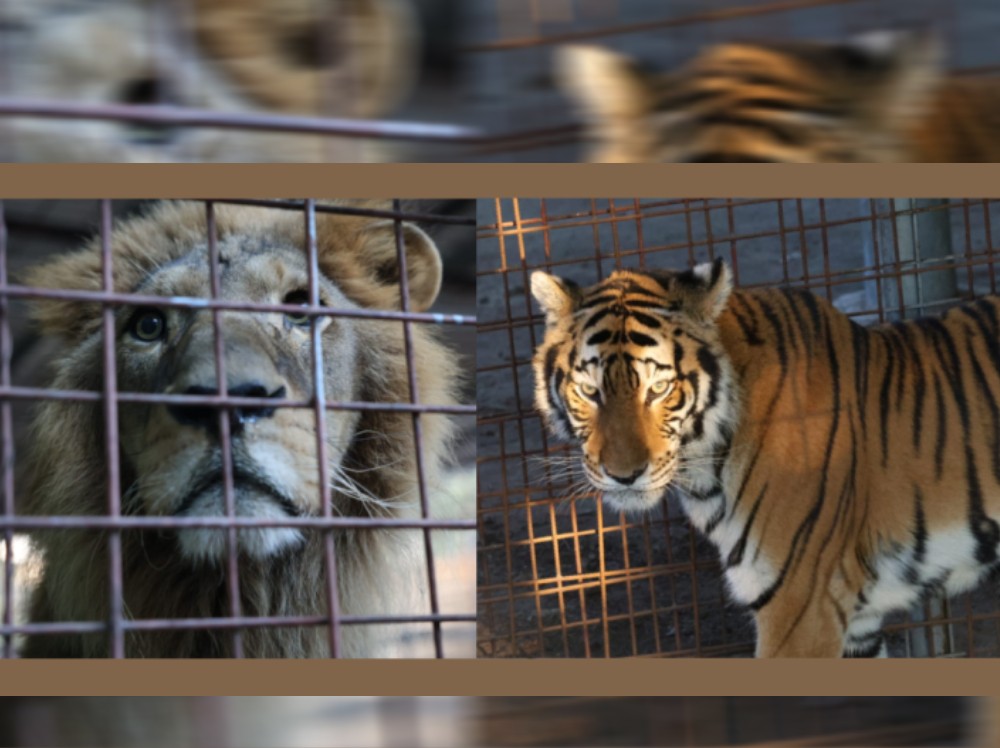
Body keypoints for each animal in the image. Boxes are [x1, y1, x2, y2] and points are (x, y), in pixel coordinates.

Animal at [531, 259, 1000, 657]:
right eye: (589, 391)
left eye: (659, 389)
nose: (624, 476)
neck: (707, 470)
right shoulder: (854, 625)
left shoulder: (801, 607)